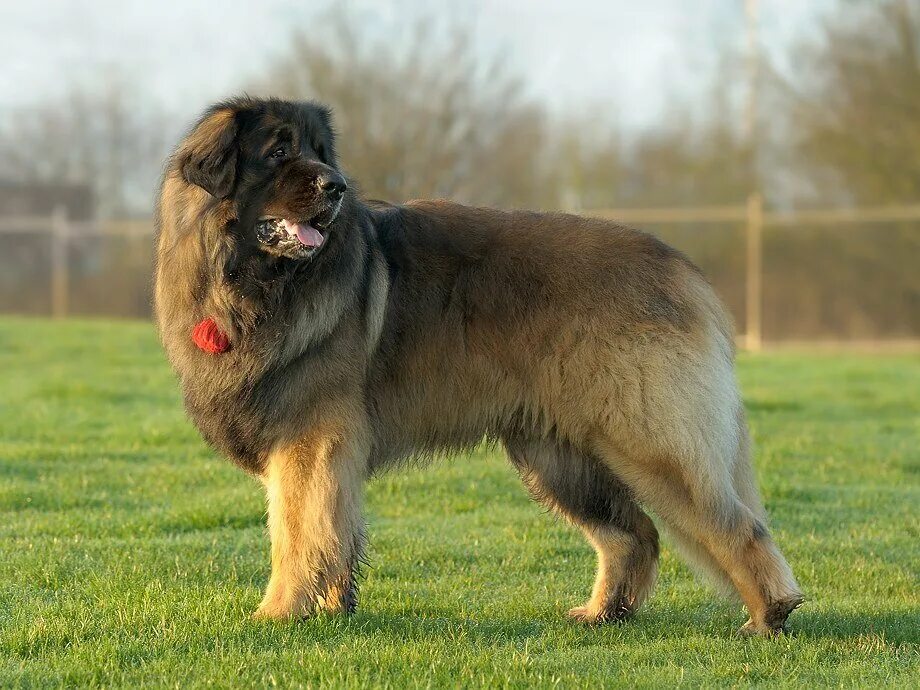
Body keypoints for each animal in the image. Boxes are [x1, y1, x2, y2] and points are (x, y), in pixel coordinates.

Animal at [155, 97, 800, 636]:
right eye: (279, 151)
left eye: (319, 152)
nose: (336, 187)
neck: (249, 283)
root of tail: (681, 270)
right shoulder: (320, 450)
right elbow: (334, 535)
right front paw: (334, 609)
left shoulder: (309, 442)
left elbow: (298, 535)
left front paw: (278, 612)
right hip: (557, 457)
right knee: (633, 534)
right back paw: (603, 613)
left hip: (645, 441)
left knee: (733, 525)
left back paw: (768, 614)